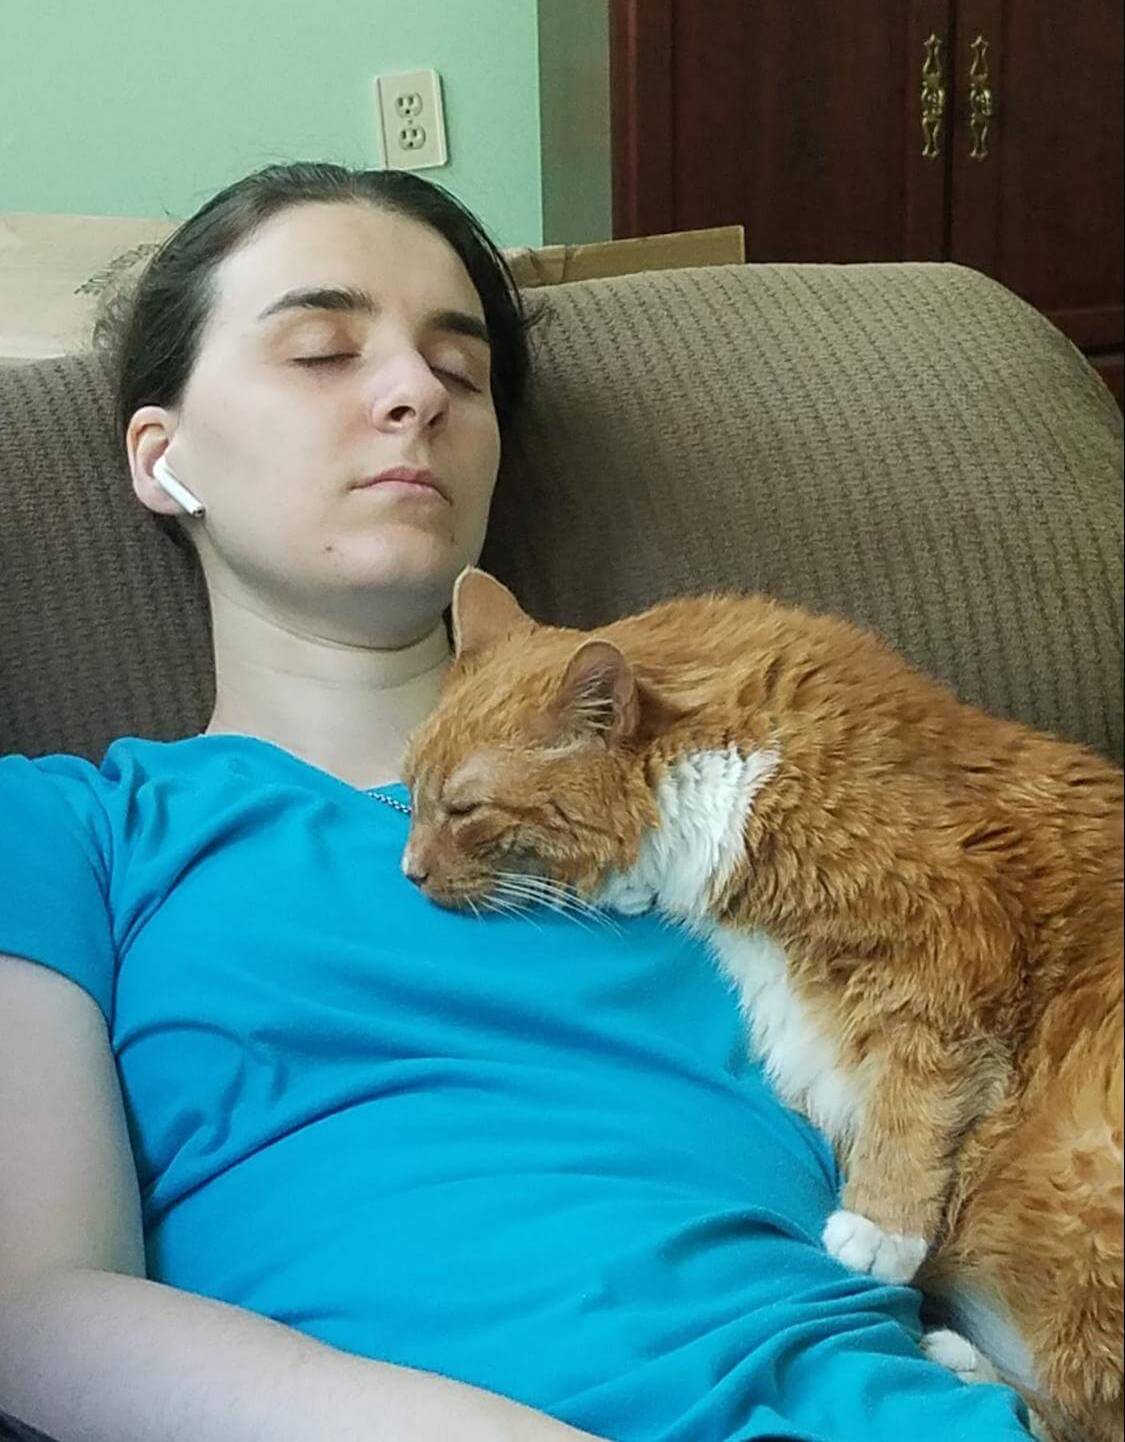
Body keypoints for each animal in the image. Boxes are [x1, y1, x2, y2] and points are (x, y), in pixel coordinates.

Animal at [403, 568, 1125, 1436]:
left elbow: (916, 1095)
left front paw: (881, 1224)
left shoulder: (957, 938)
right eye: (408, 792)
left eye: (464, 809)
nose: (407, 871)